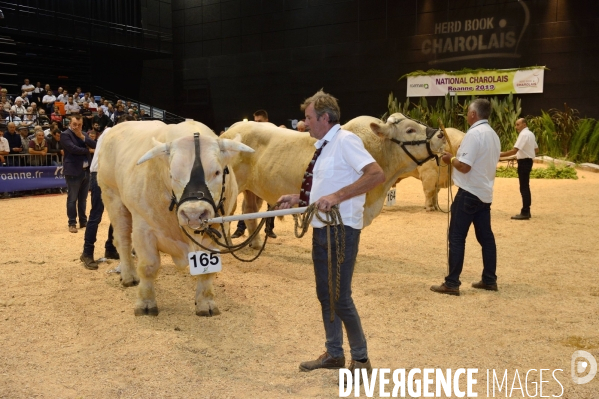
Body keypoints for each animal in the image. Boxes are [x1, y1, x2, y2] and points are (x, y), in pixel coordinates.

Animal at [98, 120, 255, 318]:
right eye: (172, 174)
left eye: (217, 172)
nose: (194, 213)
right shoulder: (143, 228)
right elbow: (148, 266)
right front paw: (146, 303)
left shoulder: (217, 231)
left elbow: (207, 272)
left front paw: (205, 303)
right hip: (112, 196)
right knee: (123, 240)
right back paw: (128, 276)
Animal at [221, 114, 446, 248]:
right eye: (410, 130)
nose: (441, 135)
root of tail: (231, 129)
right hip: (233, 187)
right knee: (228, 214)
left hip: (253, 188)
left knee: (248, 210)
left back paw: (256, 243)